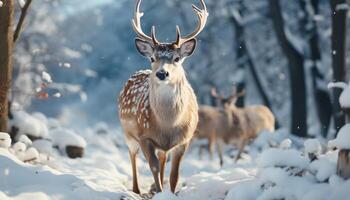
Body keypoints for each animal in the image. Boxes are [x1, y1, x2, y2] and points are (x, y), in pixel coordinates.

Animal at [118, 0, 208, 194]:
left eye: (177, 58)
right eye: (152, 58)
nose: (161, 73)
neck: (168, 125)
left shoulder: (185, 138)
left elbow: (174, 174)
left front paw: (169, 193)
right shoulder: (144, 135)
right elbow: (153, 167)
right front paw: (159, 191)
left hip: (162, 146)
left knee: (163, 158)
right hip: (128, 133)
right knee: (133, 156)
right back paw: (136, 189)